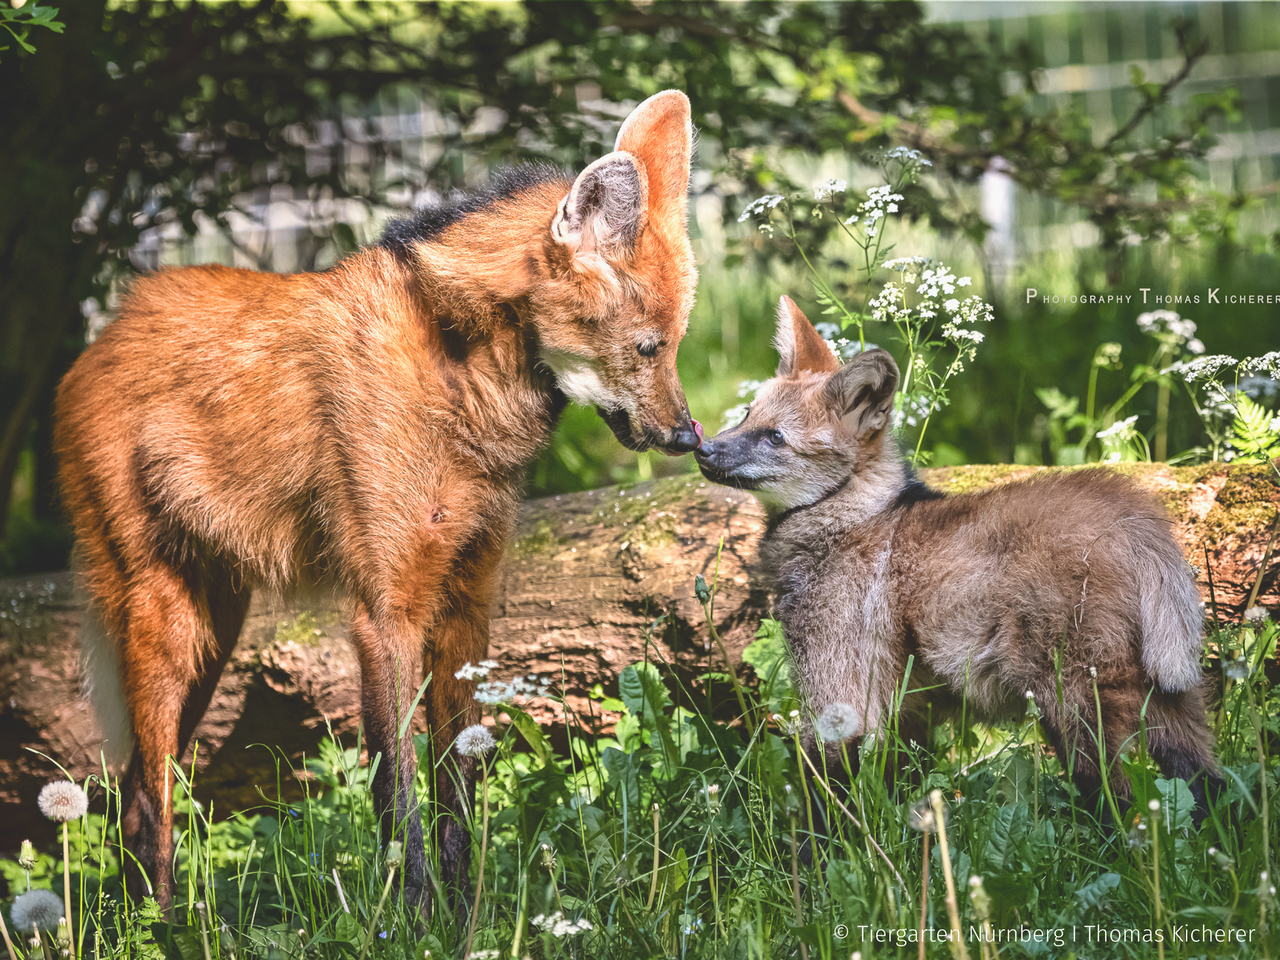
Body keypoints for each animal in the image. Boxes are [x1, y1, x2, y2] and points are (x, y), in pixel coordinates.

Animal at [55, 88, 706, 911]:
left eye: (678, 342)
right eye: (649, 346)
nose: (686, 435)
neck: (463, 373)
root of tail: (104, 332)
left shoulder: (464, 605)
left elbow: (458, 789)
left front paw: (468, 913)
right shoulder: (385, 614)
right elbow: (402, 798)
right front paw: (419, 916)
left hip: (215, 627)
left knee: (141, 787)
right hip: (164, 622)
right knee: (145, 798)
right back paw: (163, 926)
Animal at [696, 299, 1223, 819]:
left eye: (775, 437)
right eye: (747, 415)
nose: (703, 449)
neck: (848, 518)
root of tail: (1132, 511)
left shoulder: (841, 700)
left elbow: (823, 809)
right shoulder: (907, 711)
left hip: (1070, 703)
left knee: (1119, 806)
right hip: (1165, 698)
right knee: (1212, 792)